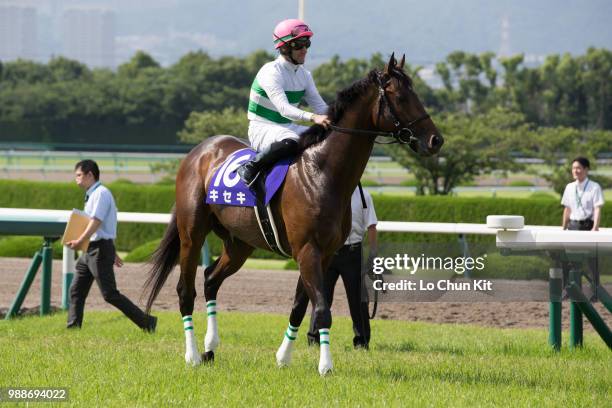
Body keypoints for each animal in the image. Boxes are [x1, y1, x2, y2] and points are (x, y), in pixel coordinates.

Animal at [143, 54, 440, 376]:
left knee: (210, 279)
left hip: (239, 243)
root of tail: (197, 152)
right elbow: (322, 309)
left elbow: (300, 306)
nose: (436, 140)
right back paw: (193, 355)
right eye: (400, 96)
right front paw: (325, 366)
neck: (322, 173)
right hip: (192, 233)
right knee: (186, 291)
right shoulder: (307, 250)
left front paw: (283, 357)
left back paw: (211, 347)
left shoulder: (323, 253)